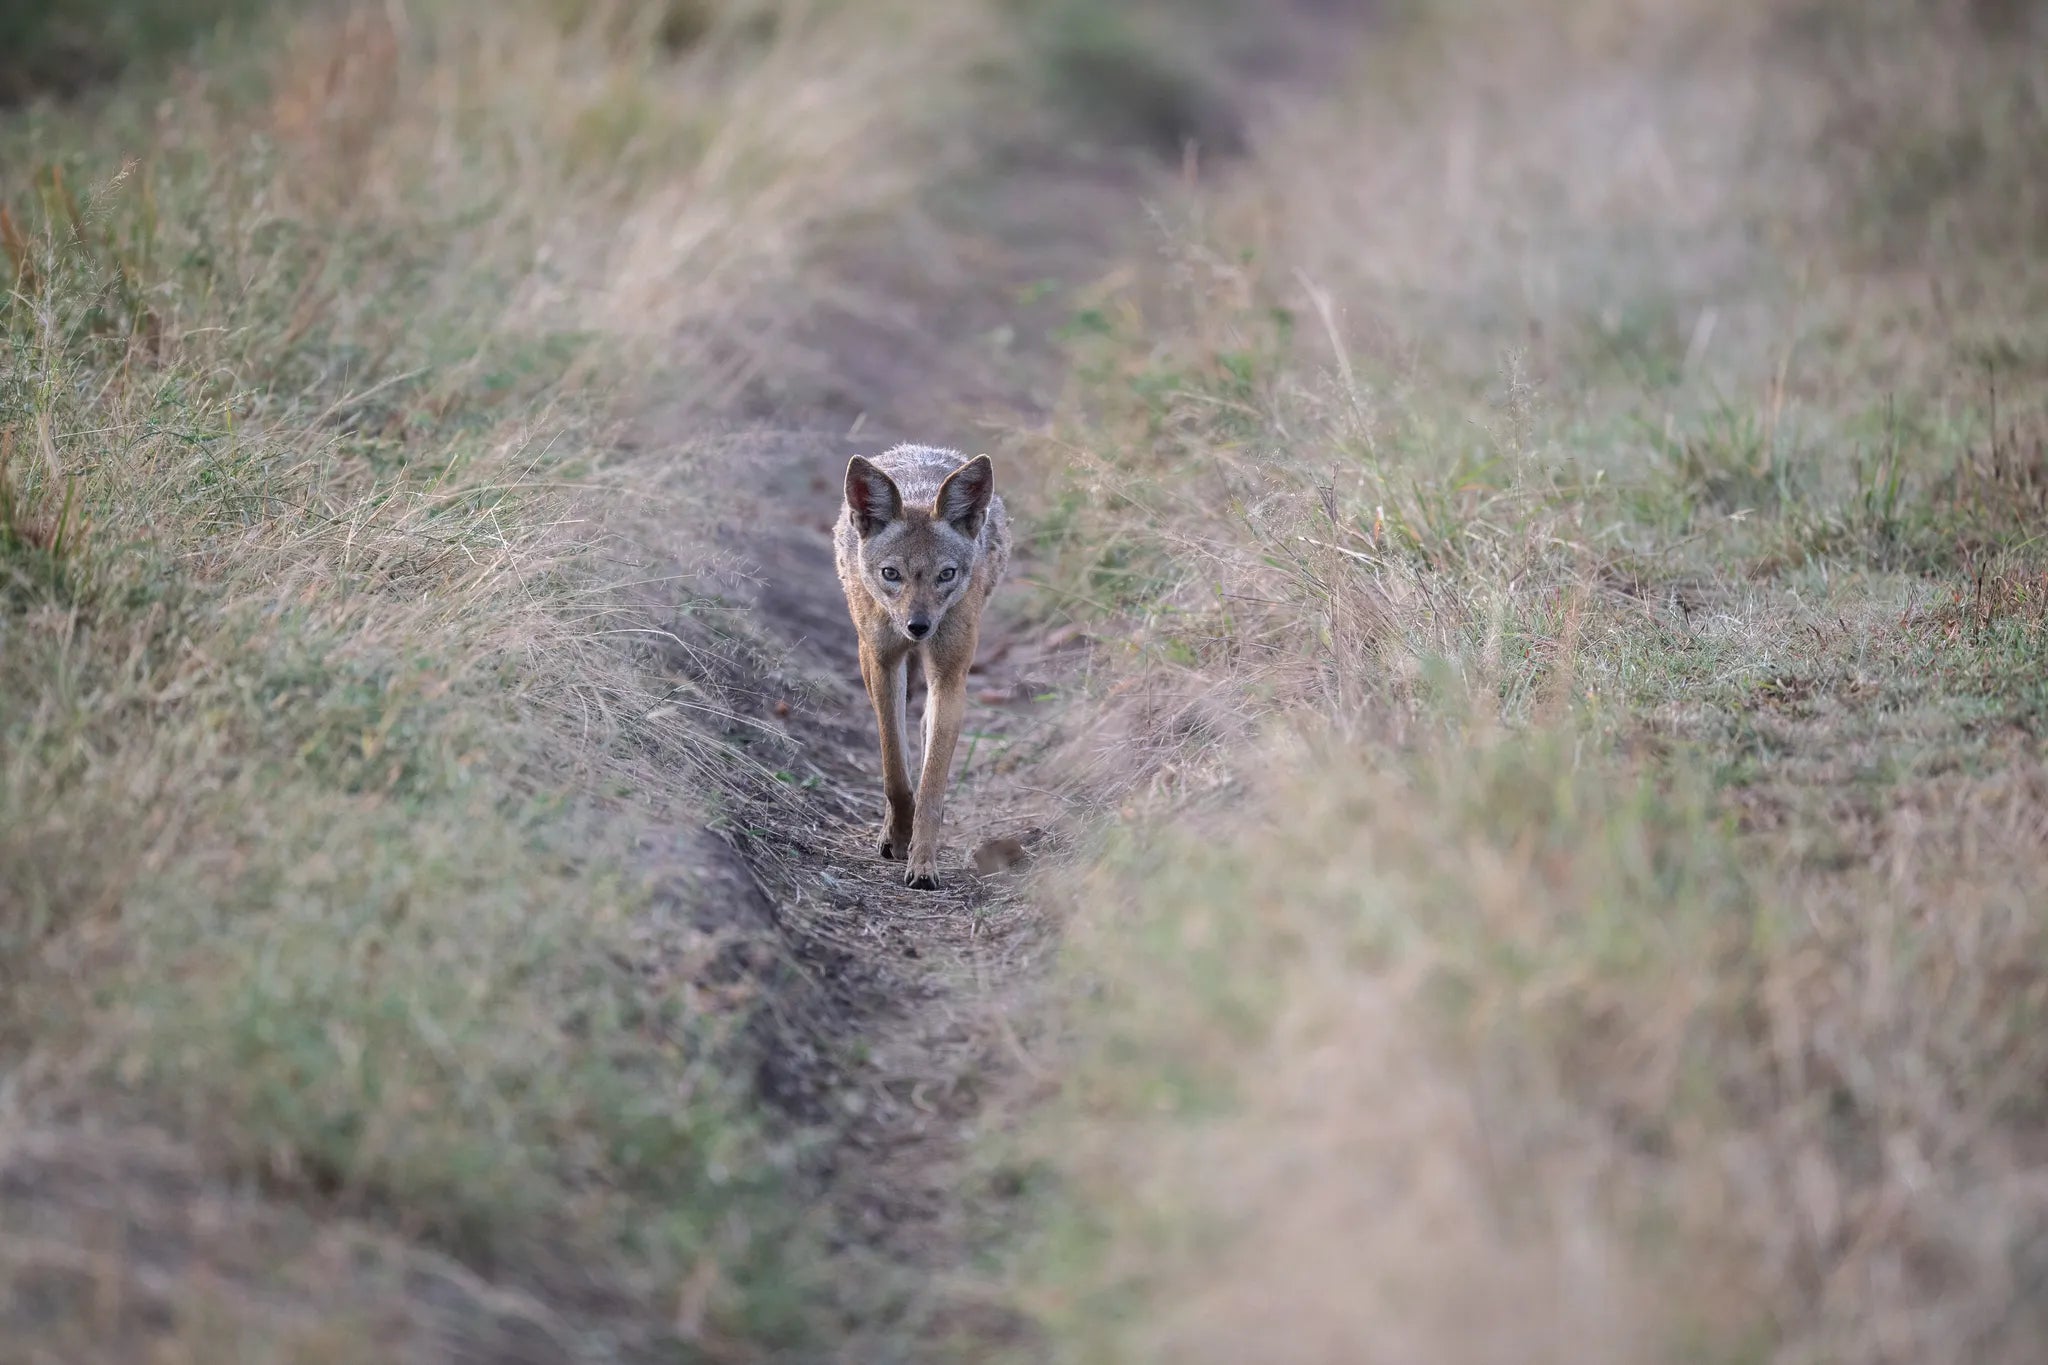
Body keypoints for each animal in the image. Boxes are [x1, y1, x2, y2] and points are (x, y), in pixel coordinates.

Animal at [834, 444, 1010, 890]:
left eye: (946, 574)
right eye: (890, 574)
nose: (919, 627)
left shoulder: (949, 675)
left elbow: (931, 786)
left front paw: (923, 862)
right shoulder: (881, 662)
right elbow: (894, 770)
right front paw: (897, 837)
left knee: (928, 730)